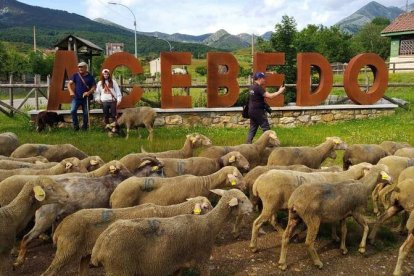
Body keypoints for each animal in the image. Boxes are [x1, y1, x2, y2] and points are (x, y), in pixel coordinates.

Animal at [40, 196, 212, 276]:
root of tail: (60, 227)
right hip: (67, 250)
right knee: (49, 272)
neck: (167, 212)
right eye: (206, 206)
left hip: (84, 254)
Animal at [90, 189, 252, 276]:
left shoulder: (177, 263)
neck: (209, 224)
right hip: (119, 268)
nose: (251, 209)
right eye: (242, 200)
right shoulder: (203, 258)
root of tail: (100, 244)